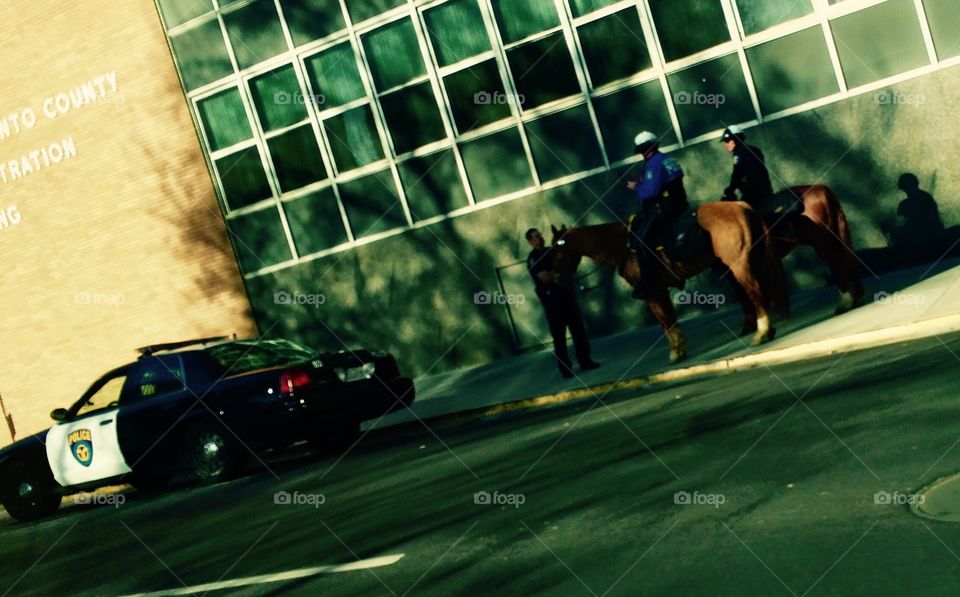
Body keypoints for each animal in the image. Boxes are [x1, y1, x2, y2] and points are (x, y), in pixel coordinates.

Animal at [552, 200, 784, 360]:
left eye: (557, 252)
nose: (554, 279)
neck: (623, 245)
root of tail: (742, 205)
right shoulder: (660, 290)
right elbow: (670, 319)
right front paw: (680, 348)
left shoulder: (651, 292)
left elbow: (664, 321)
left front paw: (675, 351)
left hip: (739, 265)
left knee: (754, 291)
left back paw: (762, 331)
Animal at [768, 184, 868, 312]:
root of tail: (821, 188)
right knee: (848, 259)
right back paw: (857, 297)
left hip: (823, 243)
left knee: (836, 264)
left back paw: (847, 301)